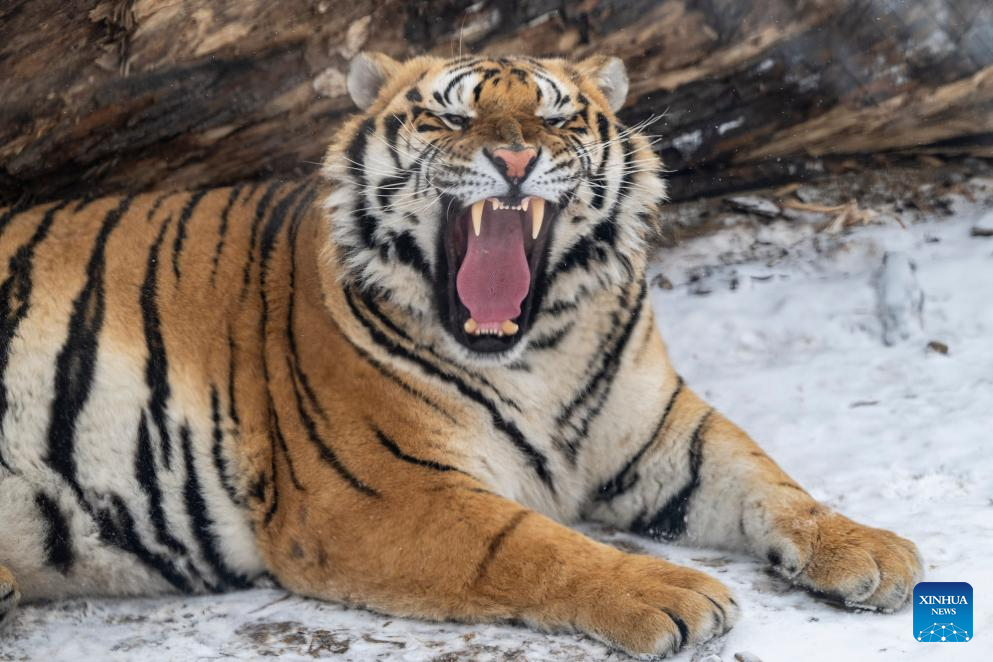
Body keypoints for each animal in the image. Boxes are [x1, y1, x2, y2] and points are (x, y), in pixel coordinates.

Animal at [0, 52, 922, 658]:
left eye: (555, 117)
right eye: (449, 115)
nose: (513, 156)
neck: (539, 352)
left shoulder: (660, 433)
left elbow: (767, 480)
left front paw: (869, 549)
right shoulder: (379, 491)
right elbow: (530, 543)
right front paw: (665, 590)